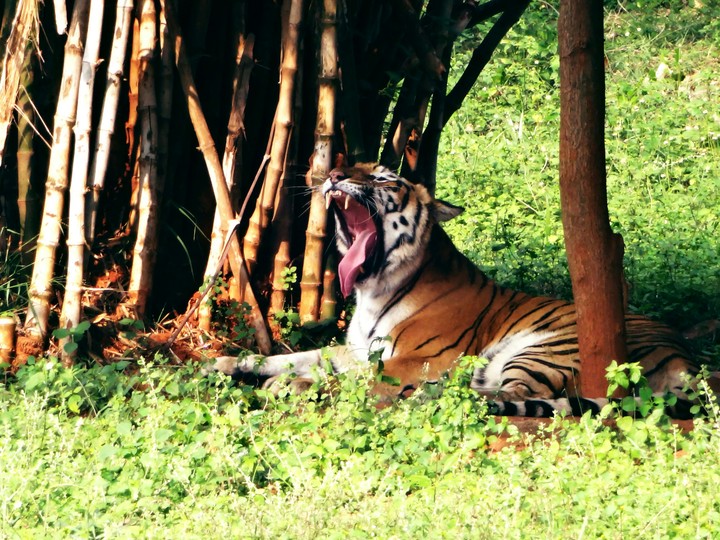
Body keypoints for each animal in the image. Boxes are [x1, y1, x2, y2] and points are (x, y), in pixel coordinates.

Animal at [207, 163, 703, 418]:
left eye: (382, 177)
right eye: (349, 164)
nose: (331, 173)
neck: (374, 288)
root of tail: (684, 357)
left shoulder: (415, 358)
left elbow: (347, 379)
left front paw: (290, 387)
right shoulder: (358, 349)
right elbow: (293, 357)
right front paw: (229, 362)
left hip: (543, 350)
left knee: (506, 397)